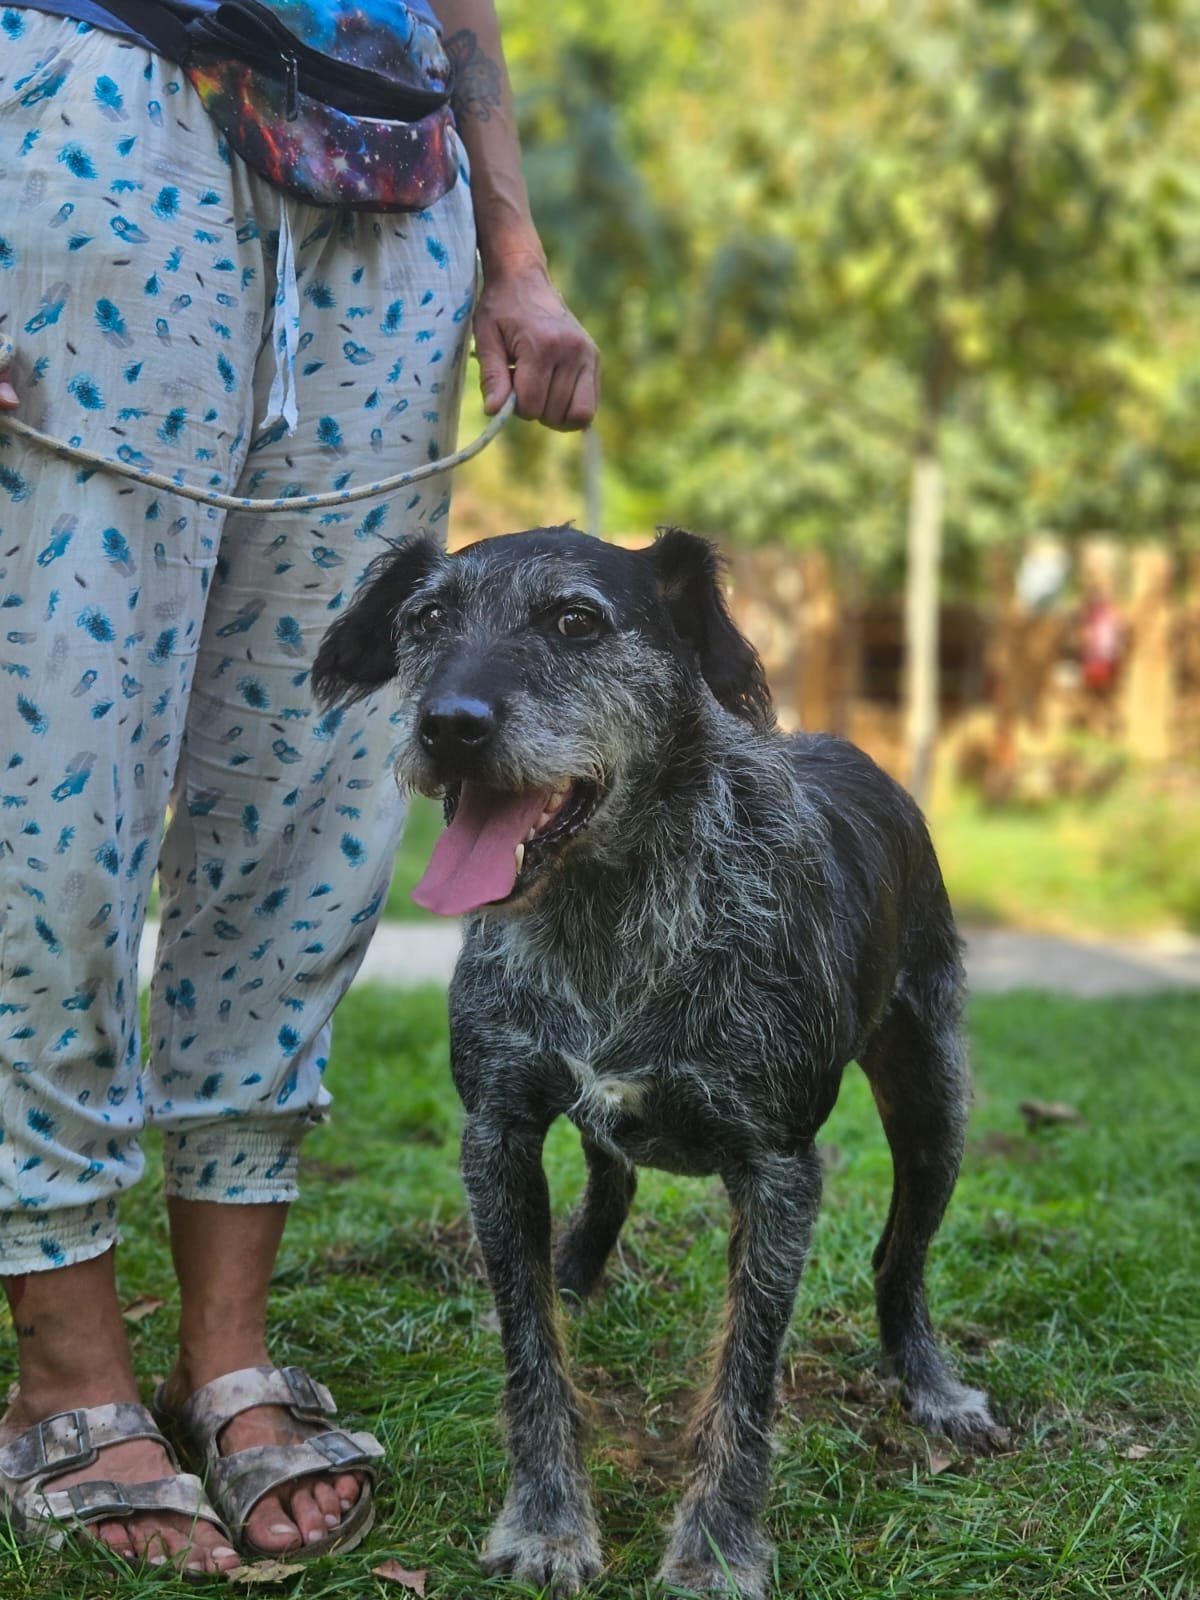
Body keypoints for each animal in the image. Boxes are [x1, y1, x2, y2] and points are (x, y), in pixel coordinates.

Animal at [313, 526, 1003, 1598]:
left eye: (576, 620)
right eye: (426, 618)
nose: (447, 726)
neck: (609, 909)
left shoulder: (777, 1169)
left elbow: (746, 1376)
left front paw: (717, 1545)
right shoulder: (498, 1132)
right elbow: (531, 1349)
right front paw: (548, 1520)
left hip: (933, 1101)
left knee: (902, 1256)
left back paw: (930, 1386)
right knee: (611, 1183)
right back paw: (574, 1272)